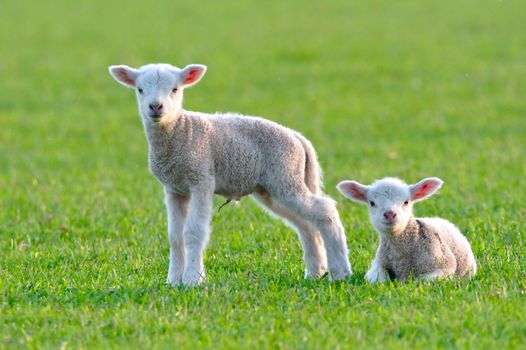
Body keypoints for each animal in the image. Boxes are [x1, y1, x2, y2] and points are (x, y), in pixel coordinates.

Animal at [109, 63, 352, 288]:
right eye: (140, 89)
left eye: (175, 89)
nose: (155, 106)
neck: (180, 130)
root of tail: (299, 139)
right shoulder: (174, 189)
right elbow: (175, 237)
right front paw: (173, 281)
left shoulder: (201, 180)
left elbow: (194, 232)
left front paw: (192, 280)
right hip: (275, 187)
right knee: (306, 225)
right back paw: (315, 272)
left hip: (286, 176)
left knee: (325, 211)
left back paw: (340, 272)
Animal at [338, 176, 478, 284]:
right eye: (372, 203)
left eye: (406, 202)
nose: (390, 214)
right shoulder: (377, 265)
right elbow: (378, 280)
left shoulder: (445, 265)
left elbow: (421, 281)